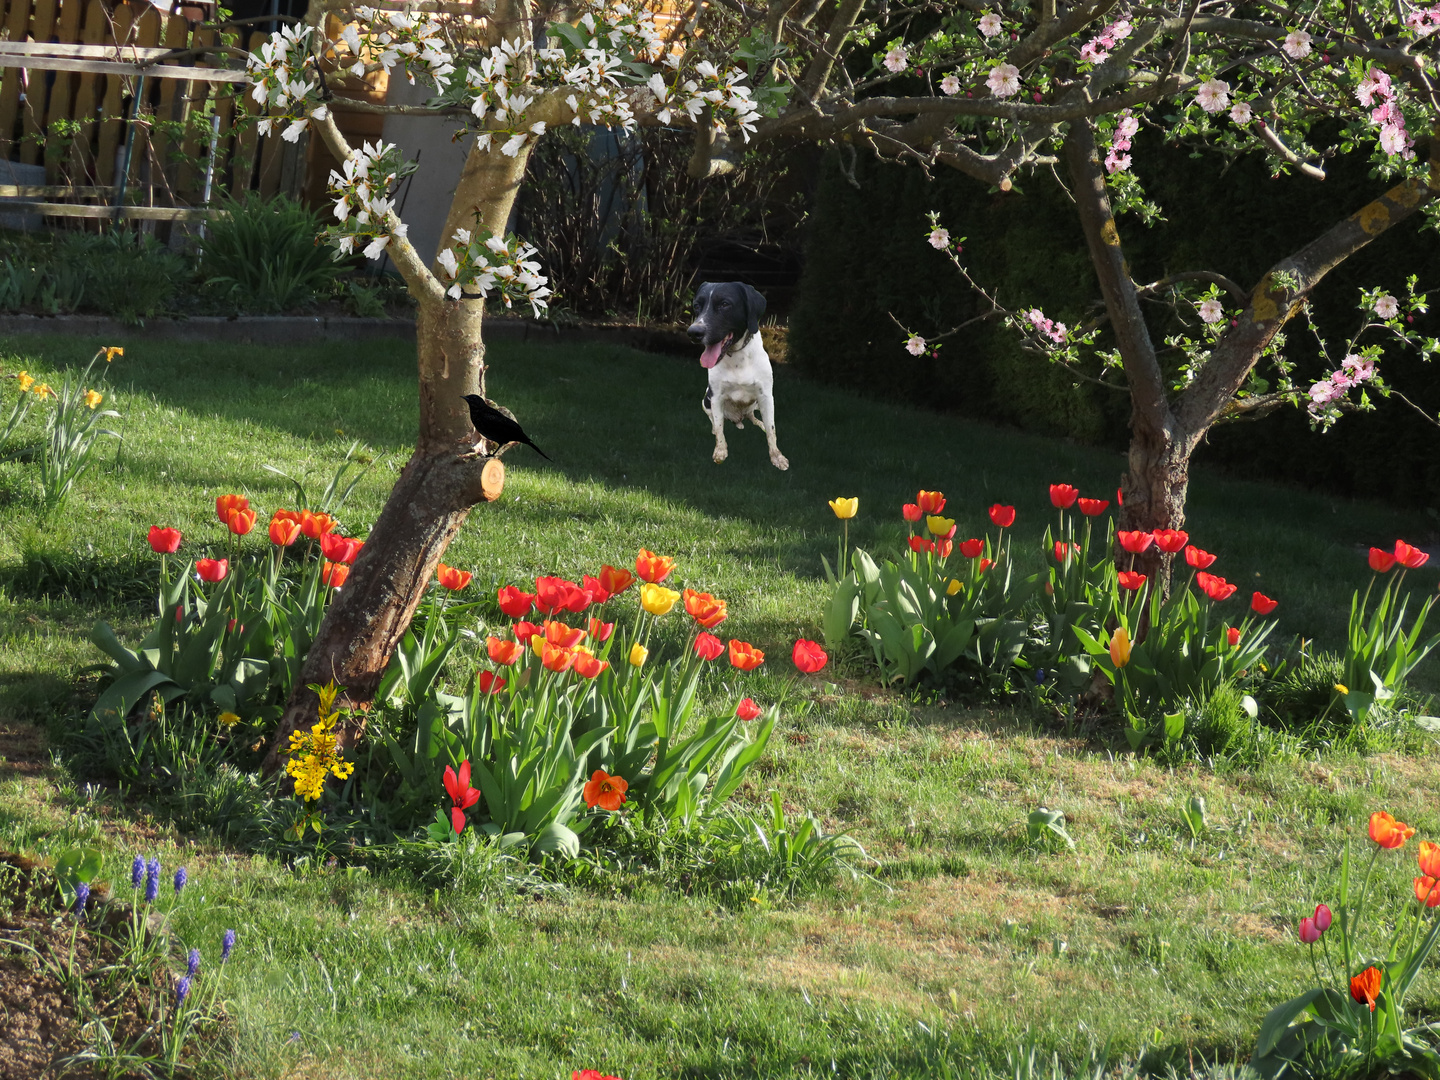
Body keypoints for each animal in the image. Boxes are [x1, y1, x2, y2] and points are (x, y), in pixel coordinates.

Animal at [685, 280, 789, 472]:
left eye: (725, 304)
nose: (693, 333)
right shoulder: (716, 396)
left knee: (752, 416)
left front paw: (777, 457)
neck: (737, 359)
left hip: (754, 404)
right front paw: (720, 451)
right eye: (696, 306)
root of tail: (737, 418)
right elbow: (719, 427)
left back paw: (758, 423)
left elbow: (772, 429)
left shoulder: (766, 396)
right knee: (714, 419)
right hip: (705, 400)